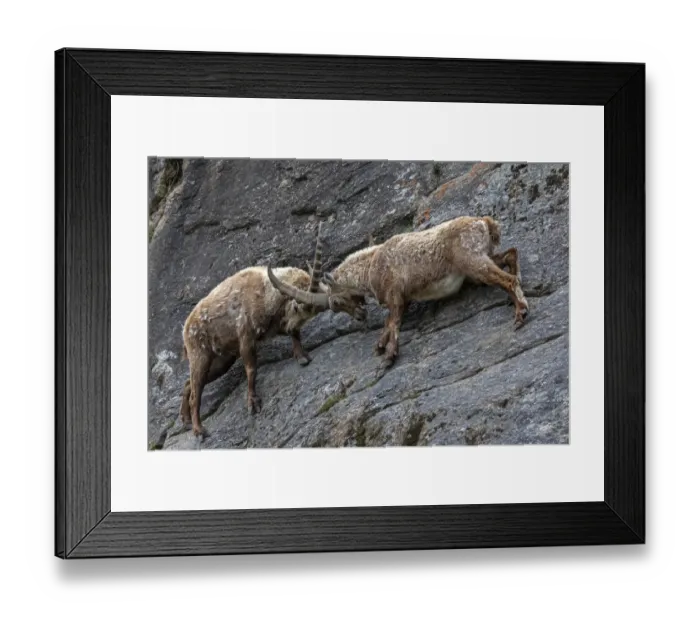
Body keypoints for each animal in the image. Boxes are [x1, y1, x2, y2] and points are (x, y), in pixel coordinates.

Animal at [180, 225, 366, 437]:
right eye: (336, 302)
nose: (361, 312)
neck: (264, 292)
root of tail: (186, 327)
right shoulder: (246, 337)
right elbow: (251, 370)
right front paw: (253, 403)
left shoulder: (275, 326)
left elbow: (294, 334)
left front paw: (302, 357)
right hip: (200, 354)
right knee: (195, 391)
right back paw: (198, 429)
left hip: (222, 360)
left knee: (188, 385)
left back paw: (185, 420)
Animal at [268, 215, 529, 370]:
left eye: (336, 301)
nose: (361, 316)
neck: (370, 265)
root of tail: (483, 222)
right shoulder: (405, 298)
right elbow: (388, 322)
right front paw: (380, 345)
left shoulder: (395, 295)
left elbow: (393, 321)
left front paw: (388, 357)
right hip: (481, 260)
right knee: (511, 255)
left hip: (473, 262)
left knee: (507, 278)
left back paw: (520, 313)